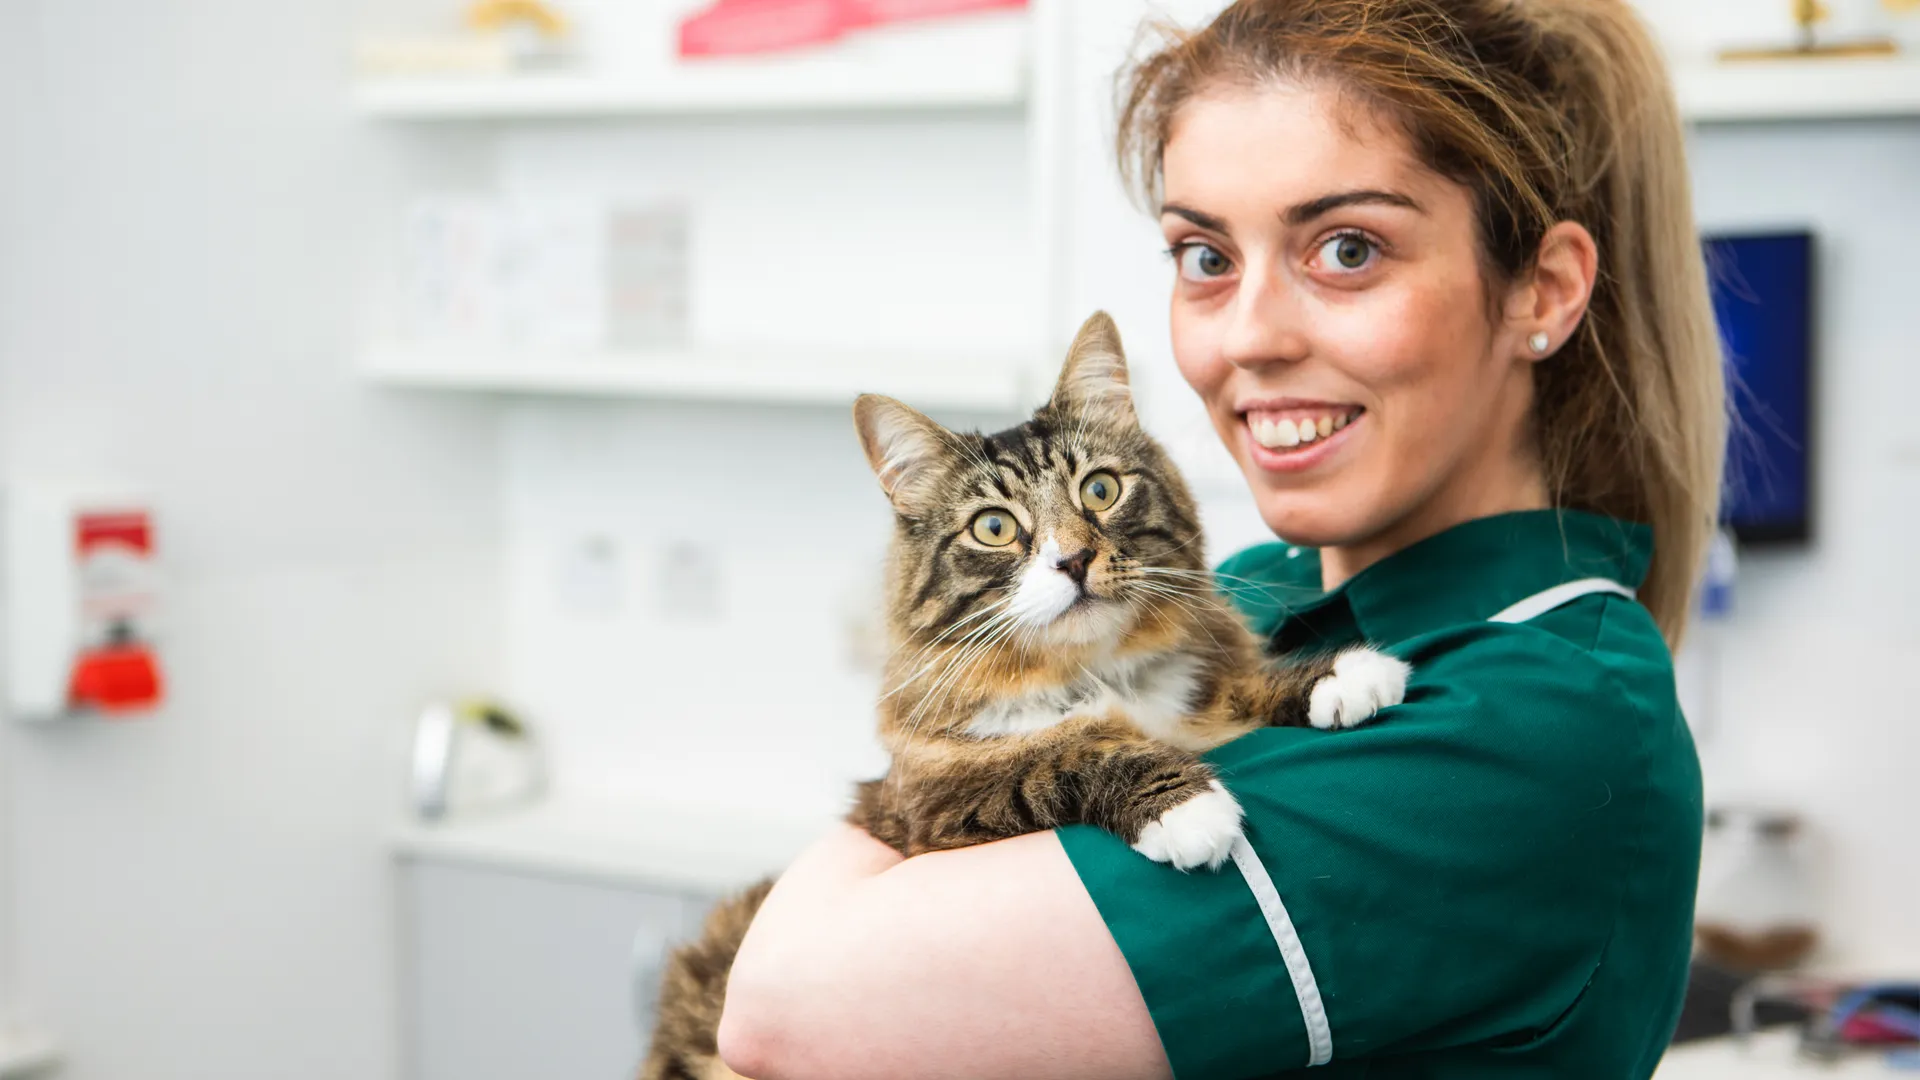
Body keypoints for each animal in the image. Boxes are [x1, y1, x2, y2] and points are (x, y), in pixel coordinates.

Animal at [645, 311, 1413, 1076]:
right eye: (995, 527)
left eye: (1099, 491)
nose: (1073, 559)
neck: (1092, 673)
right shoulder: (934, 806)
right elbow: (1065, 752)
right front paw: (1185, 808)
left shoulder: (1196, 688)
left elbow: (1236, 684)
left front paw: (1341, 675)